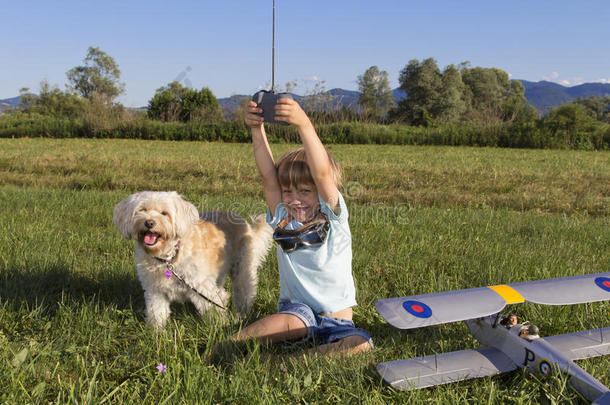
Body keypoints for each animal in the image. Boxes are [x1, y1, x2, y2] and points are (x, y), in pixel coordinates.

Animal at [114, 190, 270, 328]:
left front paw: (220, 329)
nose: (149, 222)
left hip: (242, 270)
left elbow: (213, 310)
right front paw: (155, 333)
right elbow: (156, 314)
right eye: (142, 210)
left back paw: (241, 314)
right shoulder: (155, 291)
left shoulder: (201, 286)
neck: (169, 257)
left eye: (164, 213)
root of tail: (244, 223)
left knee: (245, 292)